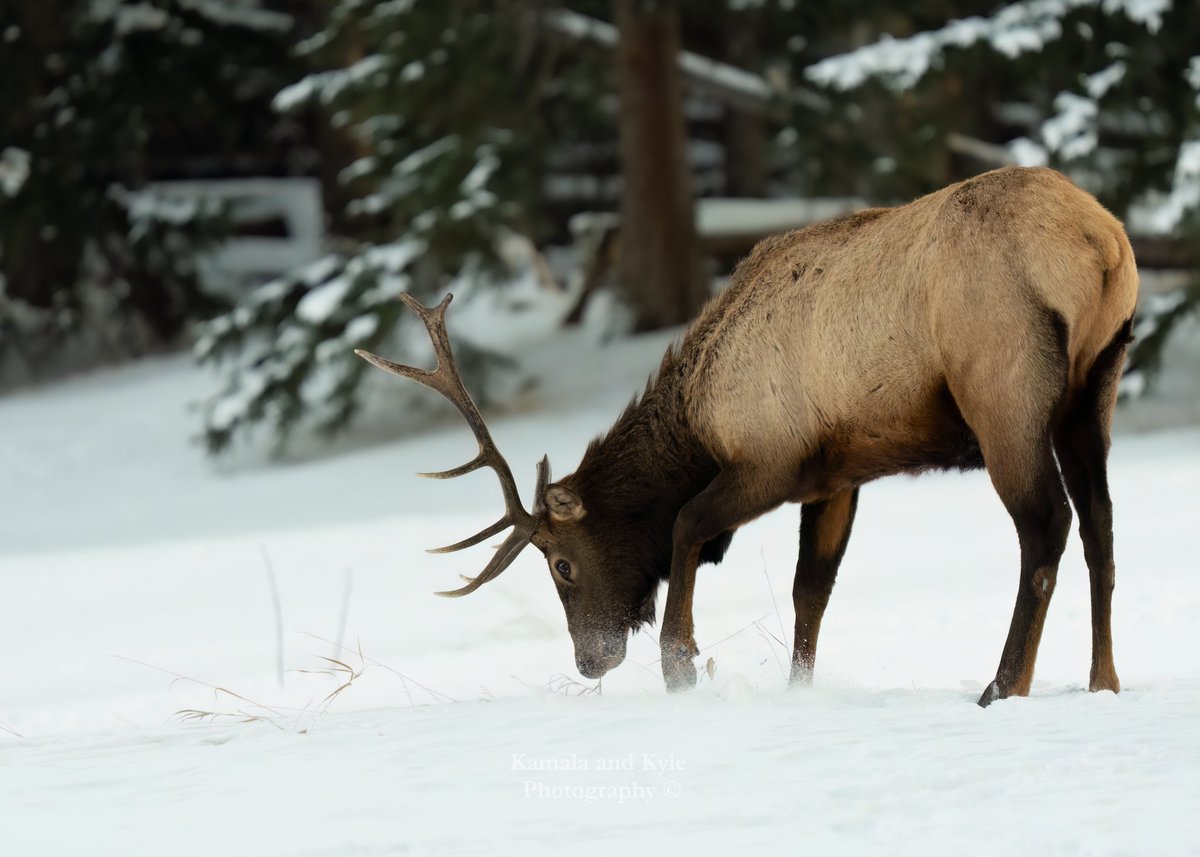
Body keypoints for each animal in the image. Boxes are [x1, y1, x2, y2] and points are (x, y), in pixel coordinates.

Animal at [358, 166, 1138, 707]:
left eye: (562, 565)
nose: (589, 660)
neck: (696, 422)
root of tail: (1102, 246)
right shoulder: (838, 475)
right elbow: (809, 591)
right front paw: (797, 688)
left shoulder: (772, 460)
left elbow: (685, 522)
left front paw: (680, 665)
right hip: (1093, 391)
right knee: (1100, 524)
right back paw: (1103, 679)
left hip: (1005, 390)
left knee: (1046, 526)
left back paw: (1003, 685)